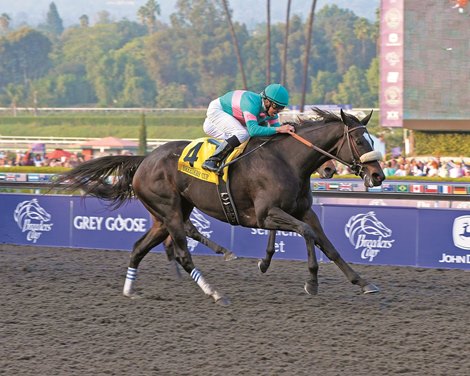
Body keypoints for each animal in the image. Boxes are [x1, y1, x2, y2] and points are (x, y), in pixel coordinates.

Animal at [56, 108, 386, 306]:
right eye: (360, 141)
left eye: (372, 140)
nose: (378, 176)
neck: (288, 160)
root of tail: (144, 159)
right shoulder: (266, 215)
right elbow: (306, 234)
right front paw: (312, 281)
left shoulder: (303, 211)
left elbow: (327, 244)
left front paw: (363, 282)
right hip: (170, 211)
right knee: (182, 253)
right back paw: (215, 292)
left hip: (166, 215)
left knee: (139, 247)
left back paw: (130, 290)